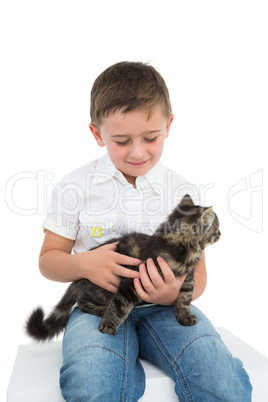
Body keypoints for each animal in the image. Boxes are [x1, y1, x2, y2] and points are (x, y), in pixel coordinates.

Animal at [26, 195, 221, 340]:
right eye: (216, 227)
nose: (220, 233)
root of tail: (79, 280)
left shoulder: (187, 280)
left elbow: (184, 299)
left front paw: (185, 316)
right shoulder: (132, 282)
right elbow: (120, 305)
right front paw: (108, 326)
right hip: (100, 290)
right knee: (81, 303)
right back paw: (102, 310)